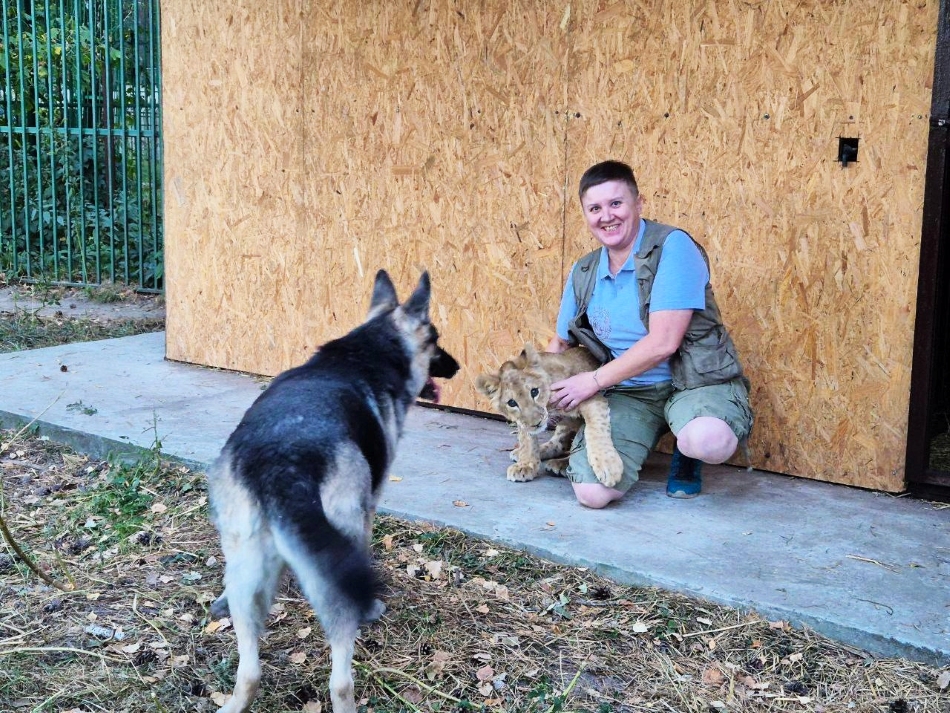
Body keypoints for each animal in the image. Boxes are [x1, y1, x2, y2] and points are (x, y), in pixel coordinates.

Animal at [208, 272, 462, 712]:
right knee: (340, 680)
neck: (366, 351)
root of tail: (283, 463)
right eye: (436, 340)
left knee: (249, 671)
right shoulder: (367, 511)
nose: (458, 366)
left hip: (243, 573)